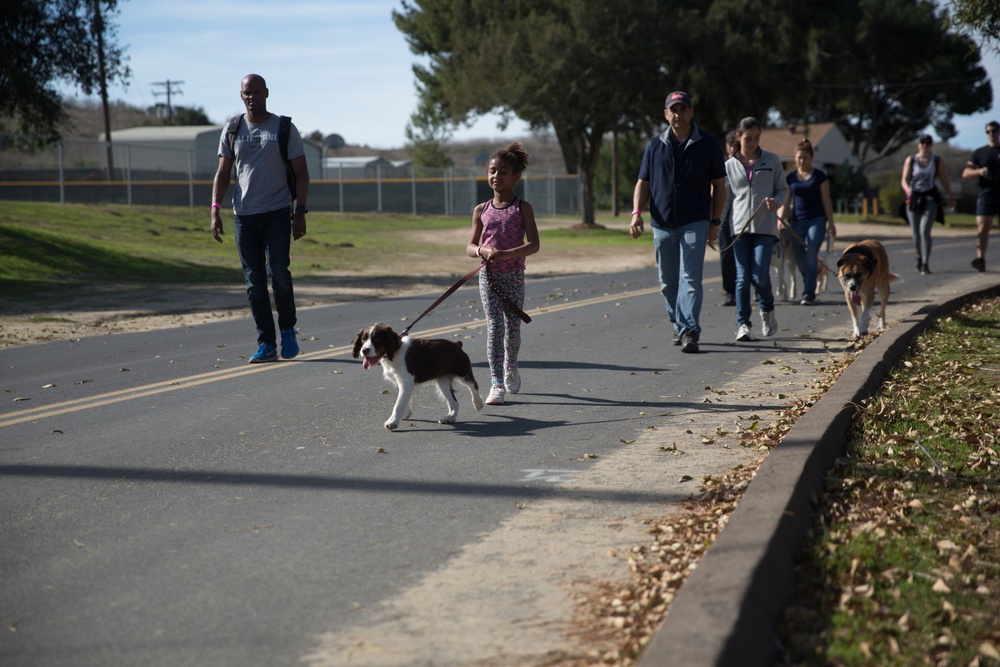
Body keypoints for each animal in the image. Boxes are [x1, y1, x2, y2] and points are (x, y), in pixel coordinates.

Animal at [352, 324, 484, 430]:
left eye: (377, 339)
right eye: (363, 339)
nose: (364, 350)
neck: (394, 352)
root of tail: (457, 344)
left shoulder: (406, 381)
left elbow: (398, 404)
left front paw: (392, 422)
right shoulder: (401, 382)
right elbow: (402, 399)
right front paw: (405, 414)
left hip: (463, 372)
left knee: (473, 385)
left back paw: (478, 404)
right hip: (443, 380)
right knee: (454, 402)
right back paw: (449, 418)